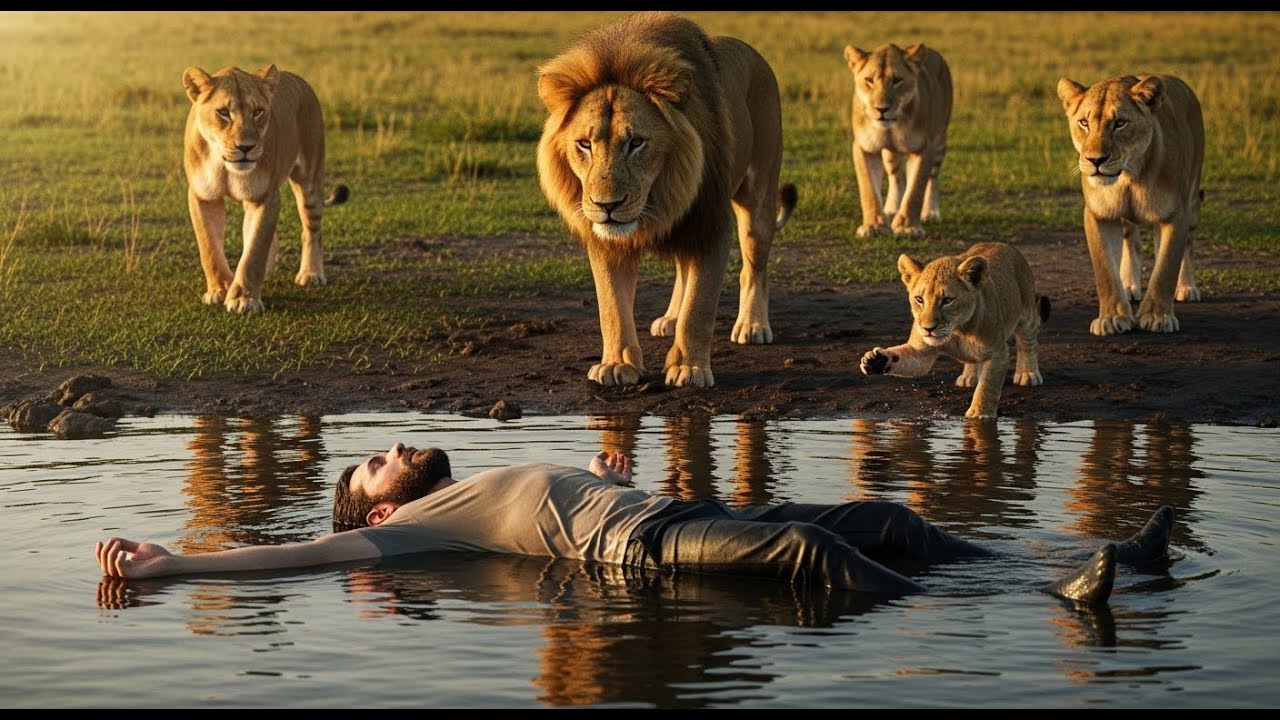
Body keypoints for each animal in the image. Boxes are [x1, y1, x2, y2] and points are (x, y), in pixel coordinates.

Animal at [182, 64, 349, 314]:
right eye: (223, 112)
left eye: (258, 112)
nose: (246, 147)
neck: (223, 165)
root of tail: (299, 80)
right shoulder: (203, 196)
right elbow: (209, 248)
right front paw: (220, 289)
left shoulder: (265, 197)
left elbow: (255, 251)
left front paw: (243, 299)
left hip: (310, 178)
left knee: (311, 230)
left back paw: (311, 274)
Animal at [536, 11, 797, 388]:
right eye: (584, 144)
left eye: (636, 143)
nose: (606, 206)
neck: (661, 195)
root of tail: (754, 54)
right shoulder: (606, 241)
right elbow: (612, 307)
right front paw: (617, 364)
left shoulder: (710, 223)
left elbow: (699, 307)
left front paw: (689, 369)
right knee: (682, 268)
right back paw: (671, 319)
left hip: (758, 196)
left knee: (754, 266)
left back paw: (753, 325)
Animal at [843, 42, 952, 238]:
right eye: (869, 80)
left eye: (897, 80)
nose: (881, 109)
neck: (893, 126)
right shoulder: (864, 147)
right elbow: (868, 189)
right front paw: (874, 225)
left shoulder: (924, 148)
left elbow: (915, 190)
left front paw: (907, 228)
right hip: (890, 153)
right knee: (896, 177)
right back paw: (891, 209)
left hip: (940, 140)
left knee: (933, 177)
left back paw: (931, 213)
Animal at [859, 242, 1051, 420]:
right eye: (919, 299)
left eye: (947, 300)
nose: (928, 328)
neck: (958, 331)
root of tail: (1004, 244)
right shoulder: (921, 352)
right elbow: (903, 358)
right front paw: (875, 360)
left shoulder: (998, 352)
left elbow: (988, 386)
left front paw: (979, 414)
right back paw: (969, 377)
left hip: (1027, 314)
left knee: (1028, 341)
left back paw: (1028, 374)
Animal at [1056, 73, 1204, 336]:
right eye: (1084, 123)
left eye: (1120, 123)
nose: (1095, 160)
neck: (1128, 178)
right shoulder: (1098, 215)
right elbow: (1105, 270)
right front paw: (1112, 317)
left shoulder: (1175, 215)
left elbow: (1166, 266)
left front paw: (1157, 317)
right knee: (1131, 241)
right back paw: (1129, 286)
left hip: (1193, 201)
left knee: (1186, 244)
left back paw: (1187, 287)